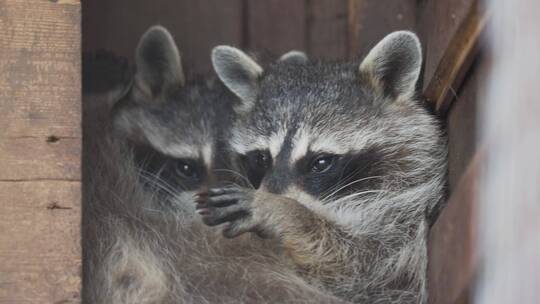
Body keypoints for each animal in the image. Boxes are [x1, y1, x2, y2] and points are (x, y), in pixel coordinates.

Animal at [202, 31, 448, 304]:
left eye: (320, 162)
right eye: (262, 158)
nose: (271, 194)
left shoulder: (404, 220)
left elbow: (360, 265)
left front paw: (281, 210)